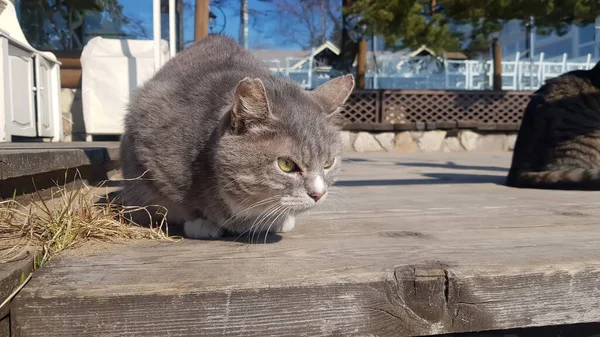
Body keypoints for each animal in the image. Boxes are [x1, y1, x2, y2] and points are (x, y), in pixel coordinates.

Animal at [119, 35, 354, 238]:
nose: (318, 194)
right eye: (286, 164)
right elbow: (182, 199)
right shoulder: (152, 152)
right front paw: (201, 222)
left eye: (328, 163)